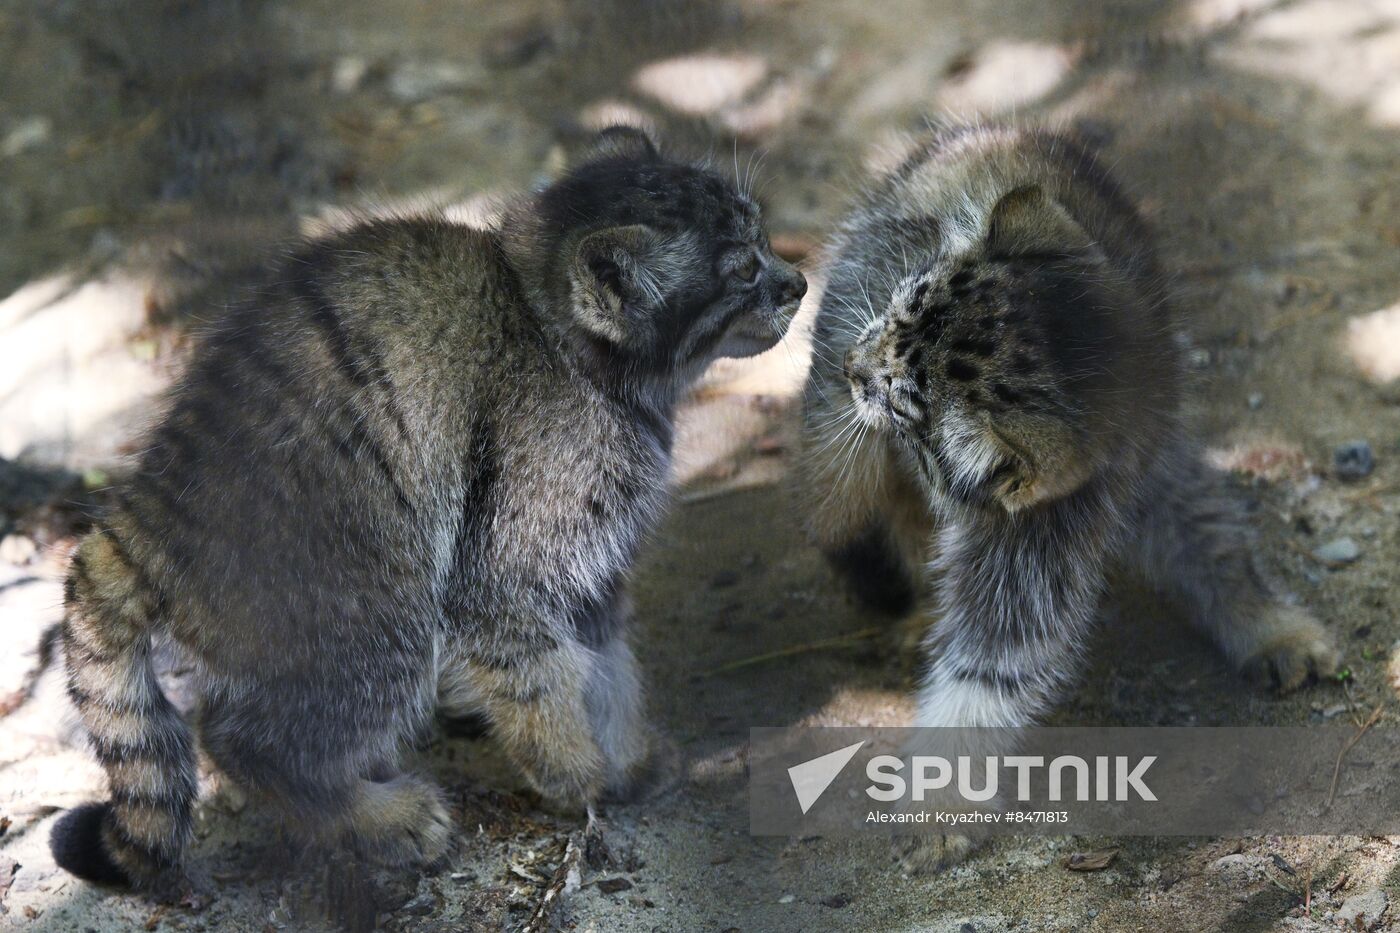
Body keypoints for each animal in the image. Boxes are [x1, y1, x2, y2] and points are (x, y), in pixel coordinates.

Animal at [51, 125, 812, 885]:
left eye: (763, 232)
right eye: (742, 271)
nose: (799, 282)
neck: (553, 328)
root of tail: (153, 506)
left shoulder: (595, 572)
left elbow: (608, 664)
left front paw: (624, 755)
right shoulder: (510, 561)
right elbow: (537, 674)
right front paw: (574, 771)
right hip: (376, 596)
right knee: (244, 738)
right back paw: (368, 815)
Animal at [800, 121, 1332, 862]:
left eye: (904, 403)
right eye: (902, 302)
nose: (854, 365)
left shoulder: (1131, 467)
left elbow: (1205, 537)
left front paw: (1266, 622)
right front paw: (941, 792)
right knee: (846, 495)